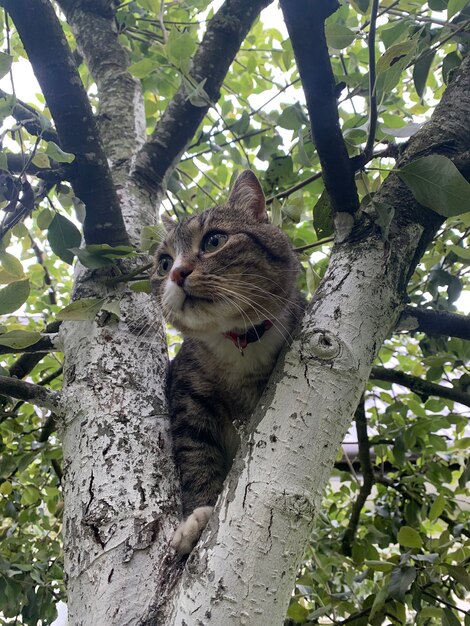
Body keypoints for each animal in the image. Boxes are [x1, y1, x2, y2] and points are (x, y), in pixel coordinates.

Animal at [151, 169, 304, 552]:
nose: (176, 273)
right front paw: (197, 518)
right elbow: (196, 457)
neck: (239, 342)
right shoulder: (188, 400)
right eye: (163, 263)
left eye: (214, 241)